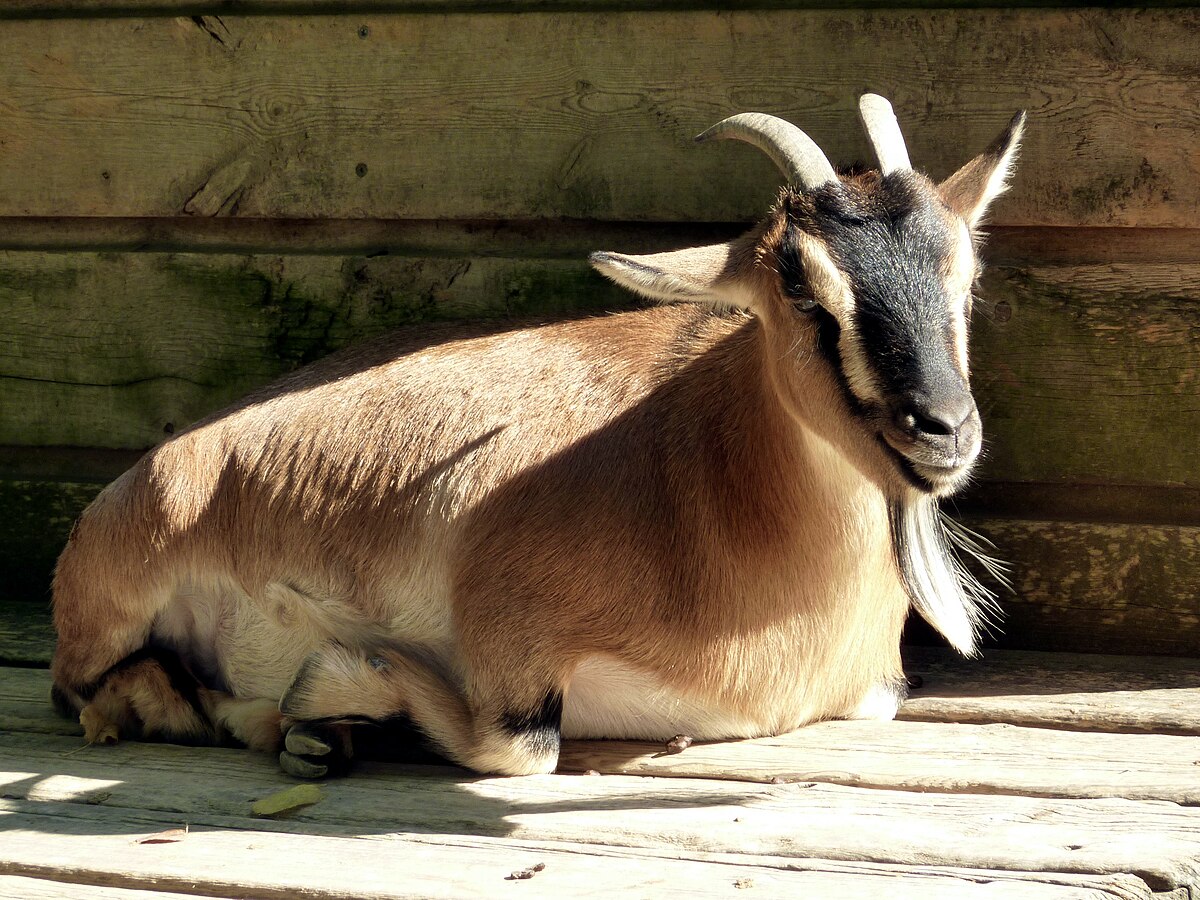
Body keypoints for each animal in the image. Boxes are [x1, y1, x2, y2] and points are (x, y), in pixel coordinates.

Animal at [51, 95, 1024, 777]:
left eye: (963, 268)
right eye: (799, 285)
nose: (943, 428)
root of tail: (151, 475)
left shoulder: (873, 695)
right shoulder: (504, 628)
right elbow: (518, 744)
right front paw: (339, 689)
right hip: (118, 596)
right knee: (79, 692)